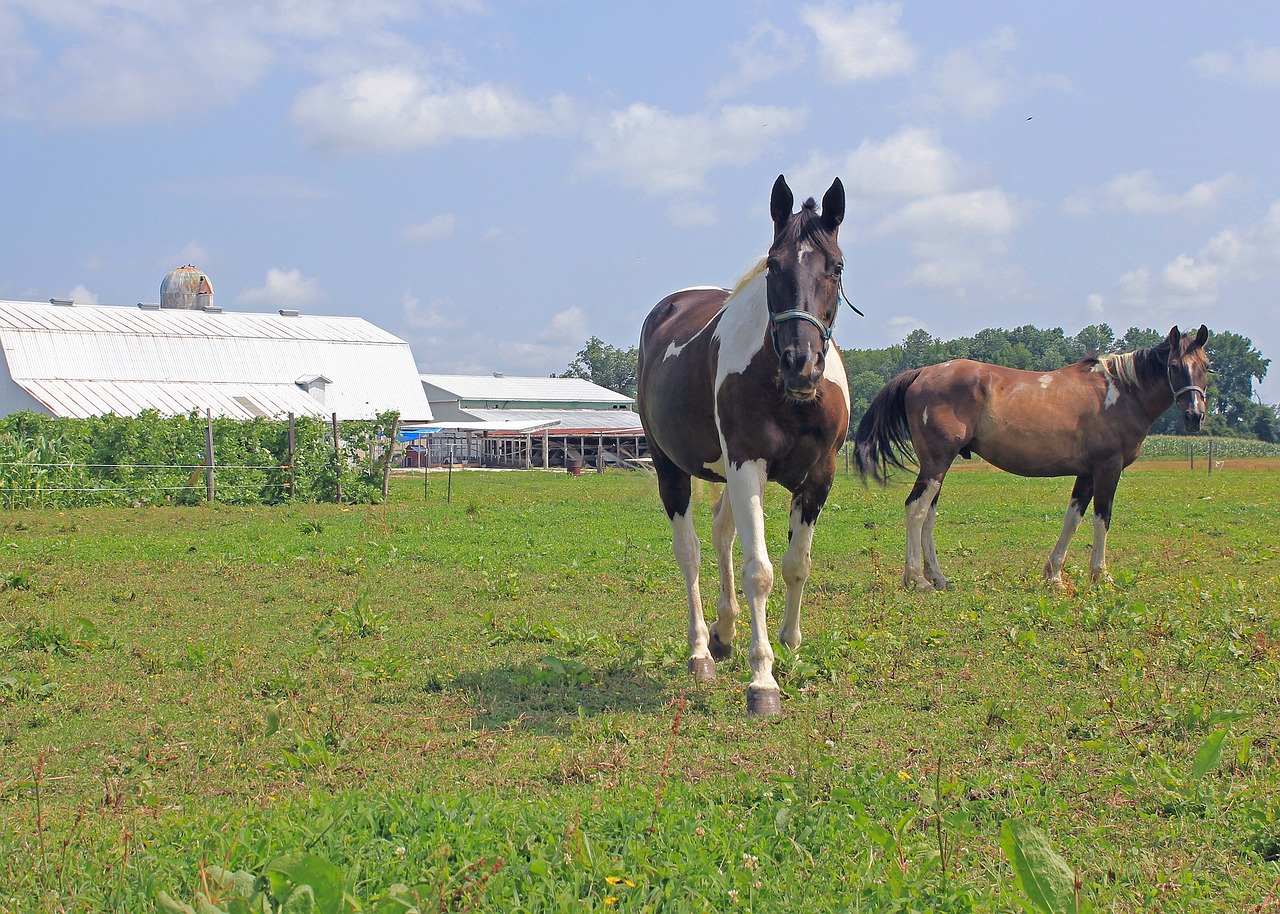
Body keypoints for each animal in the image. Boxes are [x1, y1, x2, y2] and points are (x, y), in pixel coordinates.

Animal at [637, 176, 849, 711]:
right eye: (773, 265)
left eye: (835, 267)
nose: (801, 363)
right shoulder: (746, 465)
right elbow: (761, 572)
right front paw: (762, 680)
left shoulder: (818, 476)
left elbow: (797, 565)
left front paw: (790, 646)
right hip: (675, 470)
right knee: (690, 551)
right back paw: (700, 651)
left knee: (720, 535)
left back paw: (725, 632)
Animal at [855, 323, 1203, 586]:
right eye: (1174, 367)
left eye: (1204, 367)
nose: (1195, 416)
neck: (1119, 392)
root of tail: (922, 372)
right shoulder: (1108, 468)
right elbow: (1102, 518)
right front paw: (1100, 575)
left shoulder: (1087, 473)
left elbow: (1072, 520)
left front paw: (1054, 575)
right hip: (936, 463)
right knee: (915, 509)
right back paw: (916, 579)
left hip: (936, 467)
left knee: (927, 514)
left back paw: (937, 577)